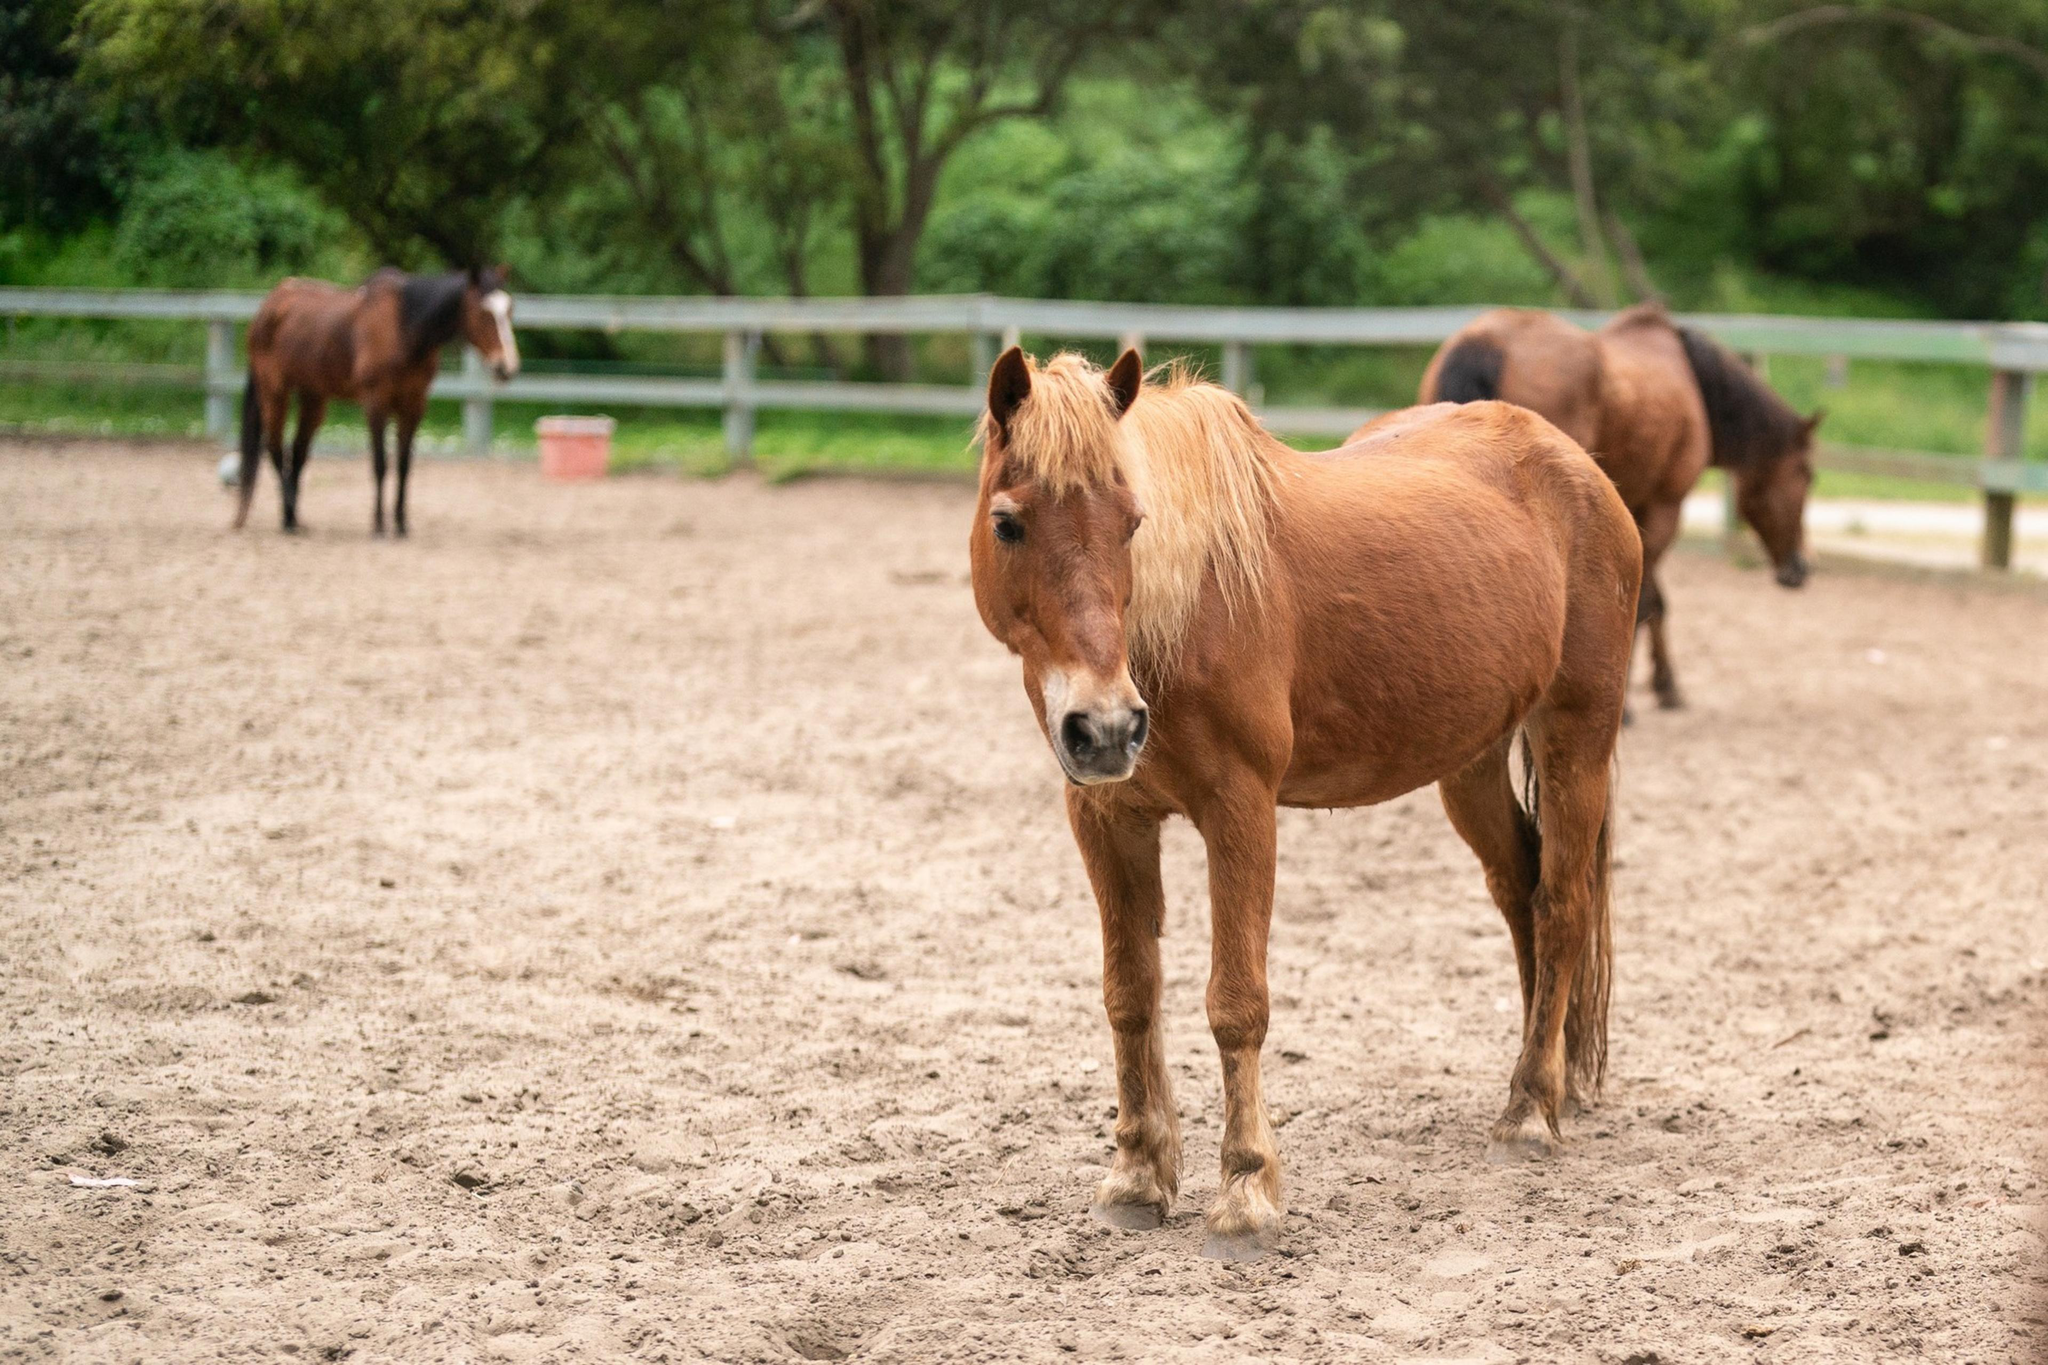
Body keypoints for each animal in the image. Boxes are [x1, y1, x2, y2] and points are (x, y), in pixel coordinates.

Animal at [232, 266, 520, 536]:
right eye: (483, 312)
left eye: (509, 310)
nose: (507, 367)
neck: (403, 328)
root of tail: (269, 306)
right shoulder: (376, 404)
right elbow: (380, 464)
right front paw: (380, 525)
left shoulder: (413, 406)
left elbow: (404, 466)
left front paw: (401, 524)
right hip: (274, 393)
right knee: (275, 449)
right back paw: (288, 517)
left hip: (313, 397)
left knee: (298, 453)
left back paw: (292, 518)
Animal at [969, 348, 1641, 1260]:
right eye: (1008, 524)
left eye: (1133, 523)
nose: (1105, 726)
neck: (1184, 617)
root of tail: (1580, 466)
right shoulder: (1107, 818)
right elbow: (1129, 993)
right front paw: (1137, 1174)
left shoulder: (1241, 810)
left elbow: (1236, 1004)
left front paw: (1246, 1189)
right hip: (1470, 761)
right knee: (1523, 894)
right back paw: (1551, 1084)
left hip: (1578, 735)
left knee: (1564, 904)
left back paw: (1531, 1112)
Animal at [1398, 304, 1819, 710]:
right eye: (1807, 475)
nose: (1799, 569)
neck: (1693, 379)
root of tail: (1485, 341)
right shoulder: (1663, 508)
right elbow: (1647, 604)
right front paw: (1642, 696)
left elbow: (1653, 601)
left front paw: (1662, 684)